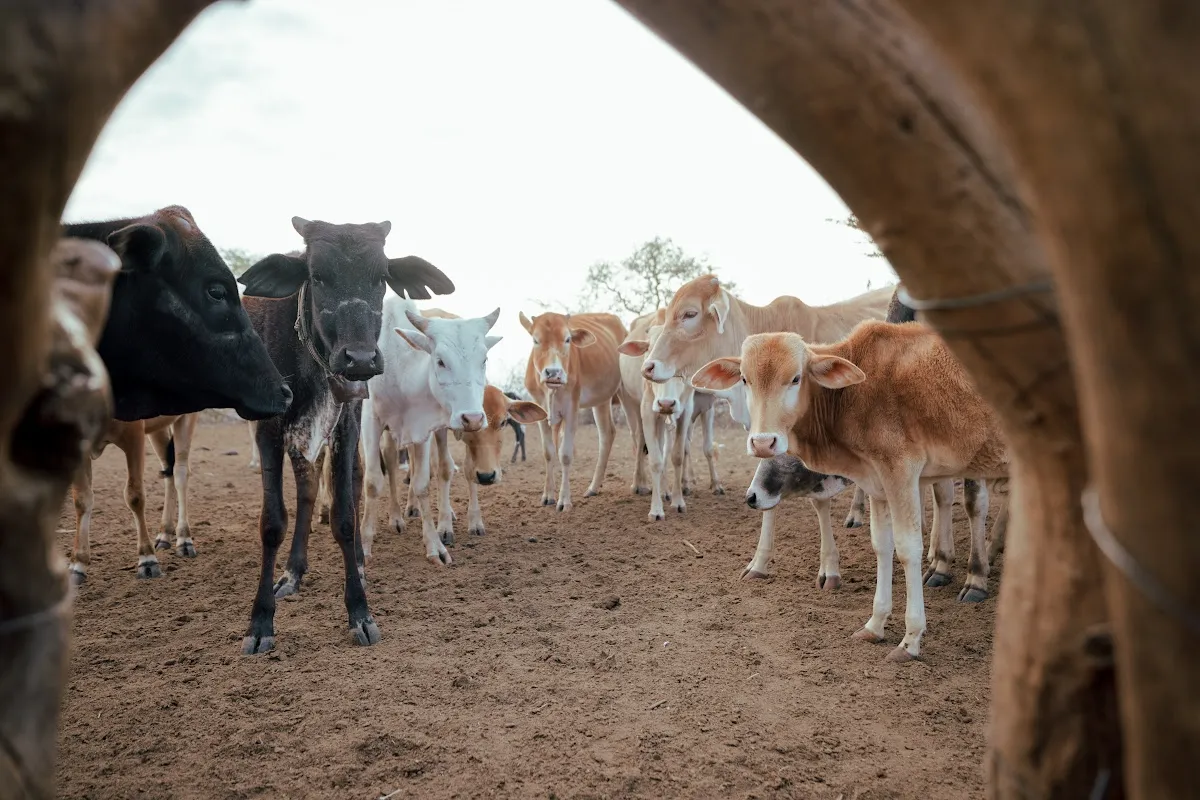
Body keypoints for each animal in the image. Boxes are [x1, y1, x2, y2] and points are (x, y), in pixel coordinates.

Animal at [68, 413, 200, 584]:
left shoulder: (134, 435)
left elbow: (134, 496)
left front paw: (147, 559)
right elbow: (81, 500)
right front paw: (77, 565)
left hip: (186, 417)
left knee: (180, 472)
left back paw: (184, 539)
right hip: (159, 427)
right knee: (168, 470)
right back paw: (164, 533)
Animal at [237, 216, 454, 654]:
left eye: (382, 276)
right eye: (317, 276)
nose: (360, 359)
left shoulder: (348, 422)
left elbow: (344, 515)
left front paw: (360, 611)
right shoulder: (268, 428)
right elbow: (273, 521)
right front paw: (261, 620)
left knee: (345, 487)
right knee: (305, 493)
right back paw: (292, 573)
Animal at [359, 297, 501, 566]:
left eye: (484, 360)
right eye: (441, 361)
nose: (473, 418)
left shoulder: (422, 429)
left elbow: (422, 484)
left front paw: (435, 545)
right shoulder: (370, 419)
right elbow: (372, 482)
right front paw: (363, 547)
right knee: (390, 462)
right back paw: (396, 517)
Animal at [519, 311, 640, 511]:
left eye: (568, 339)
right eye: (536, 340)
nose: (553, 373)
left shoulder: (571, 408)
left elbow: (565, 454)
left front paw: (564, 501)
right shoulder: (541, 412)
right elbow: (548, 452)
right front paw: (547, 496)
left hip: (627, 392)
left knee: (637, 434)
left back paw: (640, 484)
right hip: (601, 399)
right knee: (607, 434)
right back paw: (593, 487)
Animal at [691, 320, 1009, 662]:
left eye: (796, 378)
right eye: (745, 379)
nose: (763, 442)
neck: (853, 393)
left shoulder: (901, 472)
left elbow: (908, 548)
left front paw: (910, 639)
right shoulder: (878, 483)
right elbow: (882, 545)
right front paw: (875, 624)